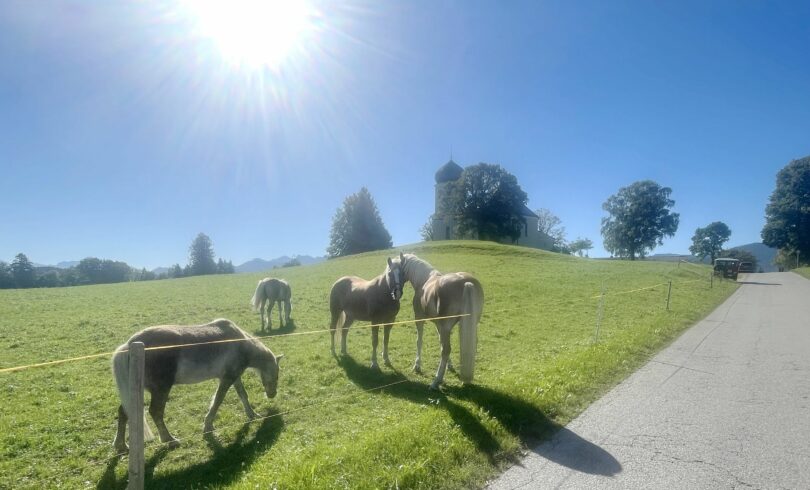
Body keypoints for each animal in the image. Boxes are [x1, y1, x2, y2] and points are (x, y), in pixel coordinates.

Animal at [111, 318, 283, 453]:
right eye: (276, 375)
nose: (272, 394)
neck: (240, 343)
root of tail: (129, 346)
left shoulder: (234, 377)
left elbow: (243, 395)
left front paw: (252, 414)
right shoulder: (227, 378)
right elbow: (218, 400)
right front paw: (208, 426)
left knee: (124, 412)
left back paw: (121, 446)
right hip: (161, 389)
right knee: (156, 412)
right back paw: (170, 440)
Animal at [394, 253, 484, 389]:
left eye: (397, 269)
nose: (396, 293)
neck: (424, 280)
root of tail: (466, 283)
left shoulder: (419, 319)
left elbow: (419, 341)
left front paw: (417, 365)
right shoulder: (439, 325)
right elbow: (440, 342)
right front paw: (449, 366)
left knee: (446, 349)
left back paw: (436, 381)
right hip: (471, 324)